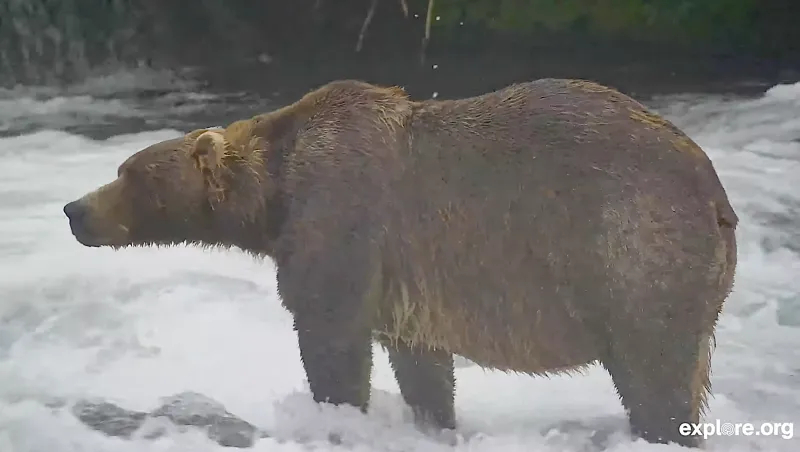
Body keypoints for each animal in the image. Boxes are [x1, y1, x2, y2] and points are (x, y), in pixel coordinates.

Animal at [63, 78, 738, 448]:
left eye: (130, 173)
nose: (74, 208)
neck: (272, 195)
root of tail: (713, 190)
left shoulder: (340, 222)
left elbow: (330, 337)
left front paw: (336, 416)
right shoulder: (408, 286)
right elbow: (422, 365)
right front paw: (434, 424)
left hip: (633, 248)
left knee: (655, 374)